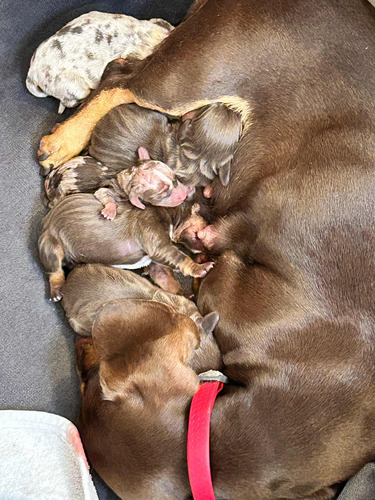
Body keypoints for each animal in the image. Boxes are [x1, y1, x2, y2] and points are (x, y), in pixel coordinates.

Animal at [39, 192, 213, 300]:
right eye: (205, 225)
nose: (208, 250)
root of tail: (44, 221)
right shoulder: (155, 240)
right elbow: (180, 257)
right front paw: (201, 267)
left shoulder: (155, 263)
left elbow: (167, 280)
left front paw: (184, 293)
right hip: (51, 245)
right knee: (55, 270)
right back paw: (56, 291)